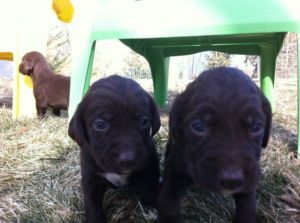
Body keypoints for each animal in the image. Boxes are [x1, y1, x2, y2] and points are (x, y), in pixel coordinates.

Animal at [158, 67, 274, 223]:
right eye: (198, 126)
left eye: (256, 127)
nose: (231, 180)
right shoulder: (176, 167)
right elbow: (168, 202)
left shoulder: (250, 177)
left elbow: (247, 206)